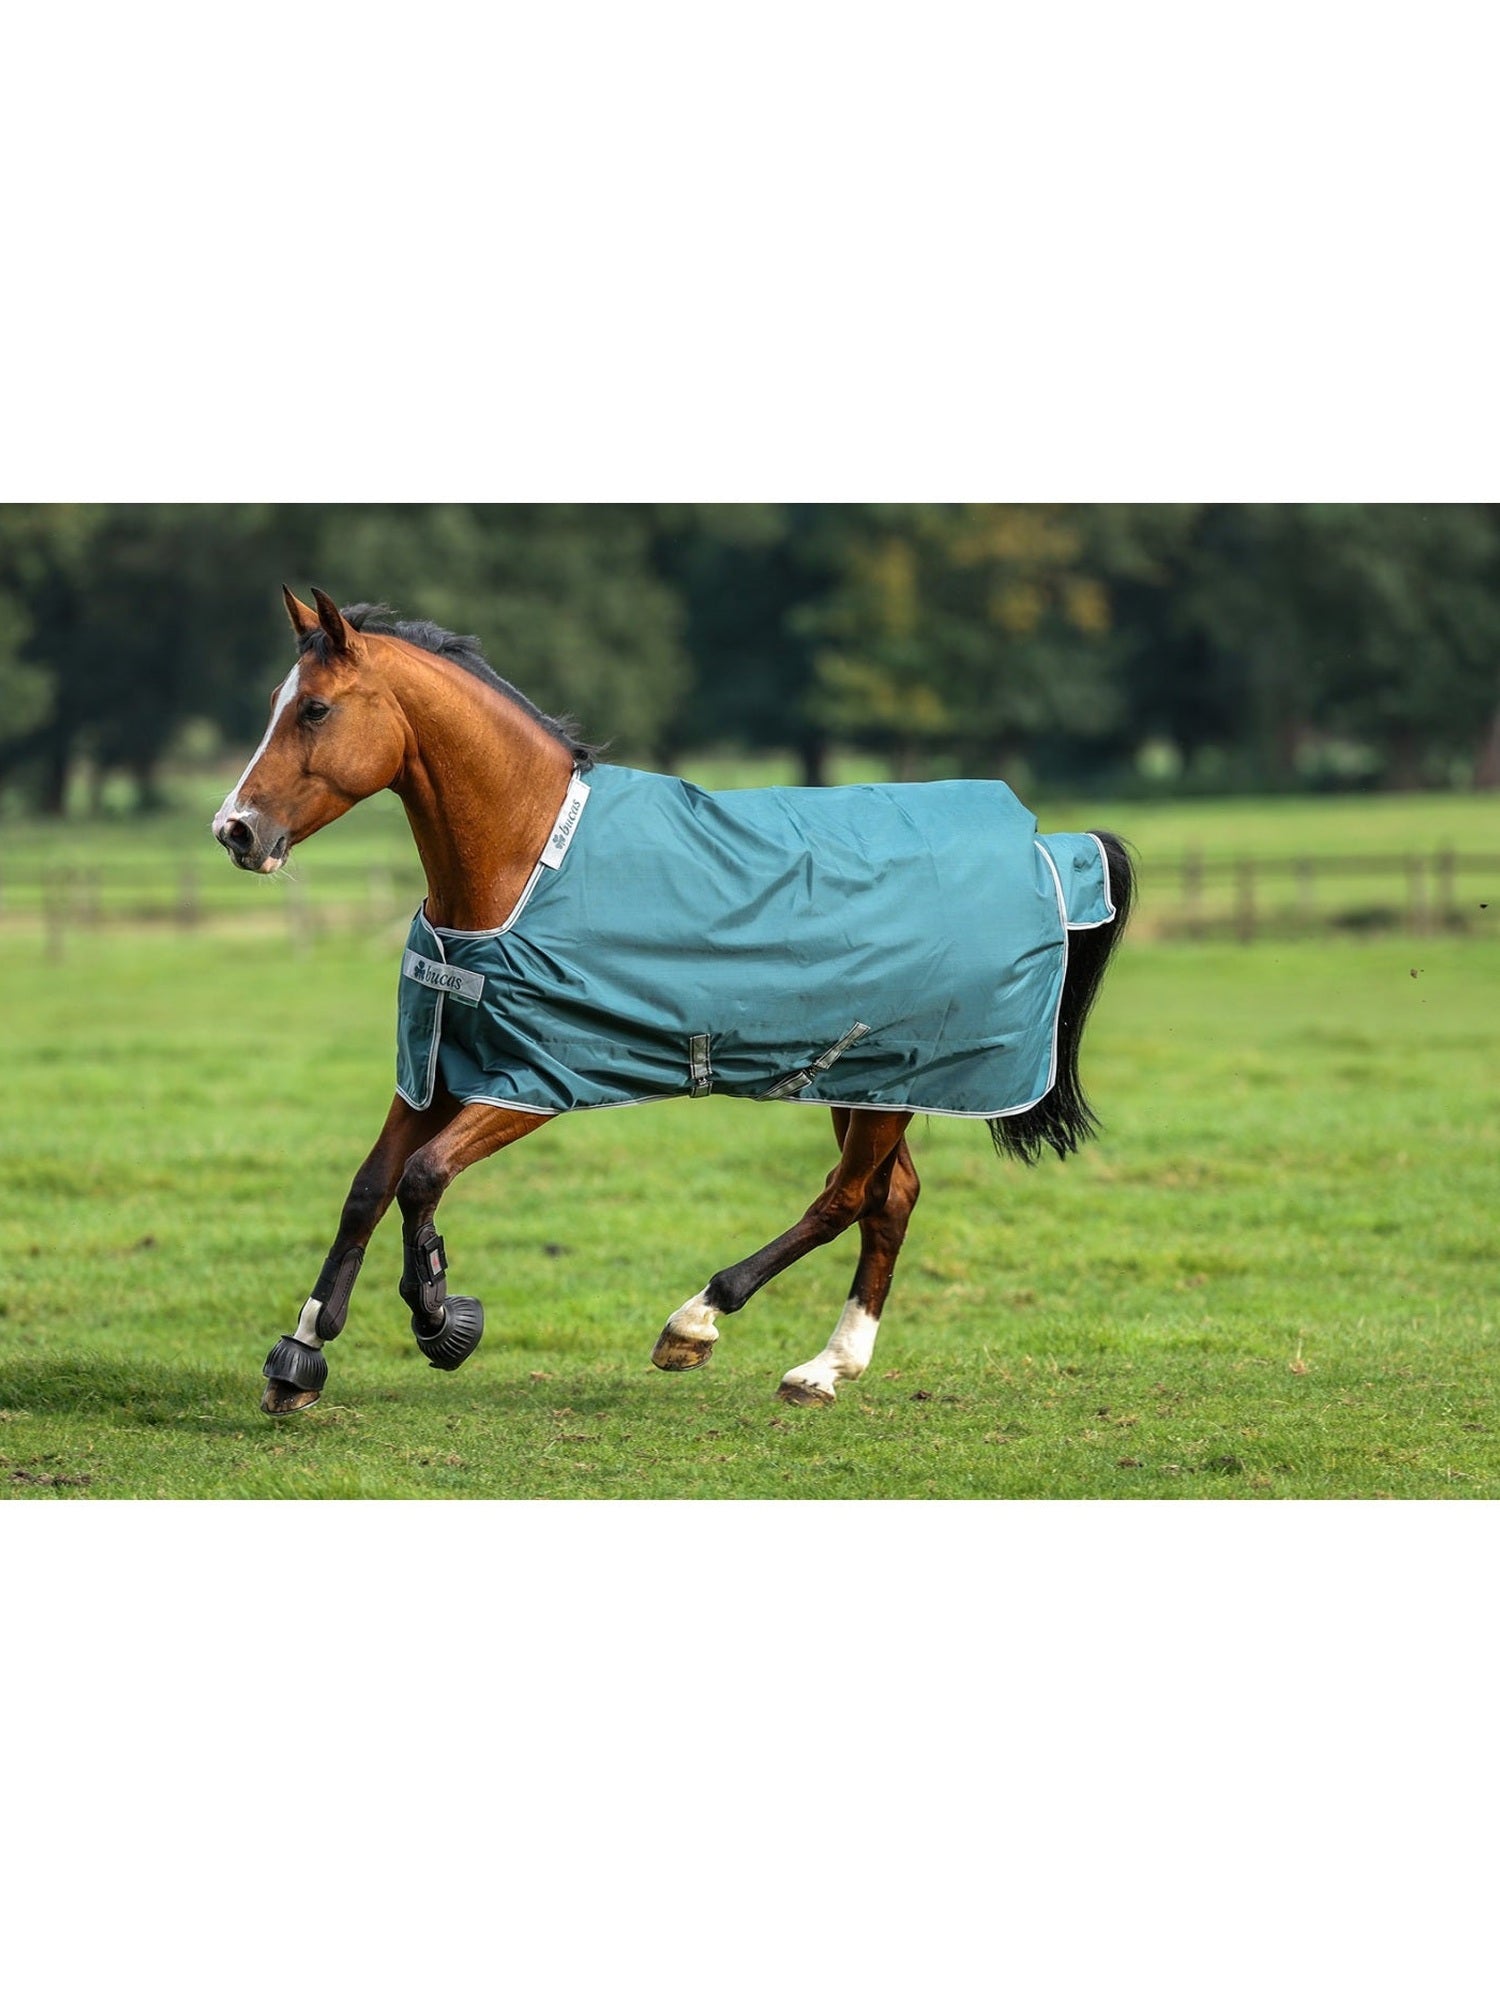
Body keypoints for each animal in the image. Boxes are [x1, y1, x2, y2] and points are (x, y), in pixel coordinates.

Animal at [213, 587, 1135, 1416]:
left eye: (316, 710)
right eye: (275, 706)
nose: (235, 830)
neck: (526, 856)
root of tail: (1046, 846)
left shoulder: (532, 1085)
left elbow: (422, 1178)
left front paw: (442, 1320)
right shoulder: (437, 1066)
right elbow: (369, 1189)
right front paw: (299, 1356)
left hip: (894, 1071)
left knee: (846, 1197)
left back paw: (698, 1321)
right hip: (863, 1079)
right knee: (890, 1197)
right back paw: (824, 1369)